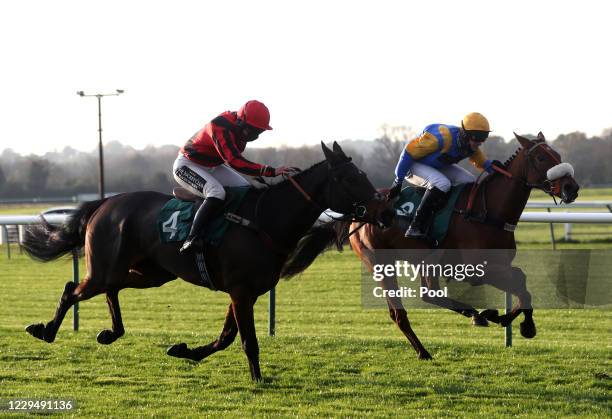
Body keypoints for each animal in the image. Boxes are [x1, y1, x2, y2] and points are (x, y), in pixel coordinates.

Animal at [25, 143, 388, 382]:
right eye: (351, 179)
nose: (383, 209)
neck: (264, 220)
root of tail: (104, 203)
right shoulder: (240, 291)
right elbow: (247, 340)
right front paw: (258, 380)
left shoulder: (245, 292)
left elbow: (226, 337)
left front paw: (184, 350)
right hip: (108, 268)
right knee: (74, 287)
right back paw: (46, 331)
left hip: (150, 273)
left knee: (109, 289)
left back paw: (110, 333)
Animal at [290, 133, 580, 360]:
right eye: (541, 158)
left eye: (557, 154)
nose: (571, 188)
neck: (486, 211)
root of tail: (358, 211)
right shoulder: (478, 269)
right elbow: (521, 282)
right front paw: (518, 324)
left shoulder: (498, 265)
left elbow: (522, 284)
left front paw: (510, 320)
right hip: (380, 263)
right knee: (399, 313)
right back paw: (424, 350)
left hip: (424, 260)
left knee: (429, 294)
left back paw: (474, 314)